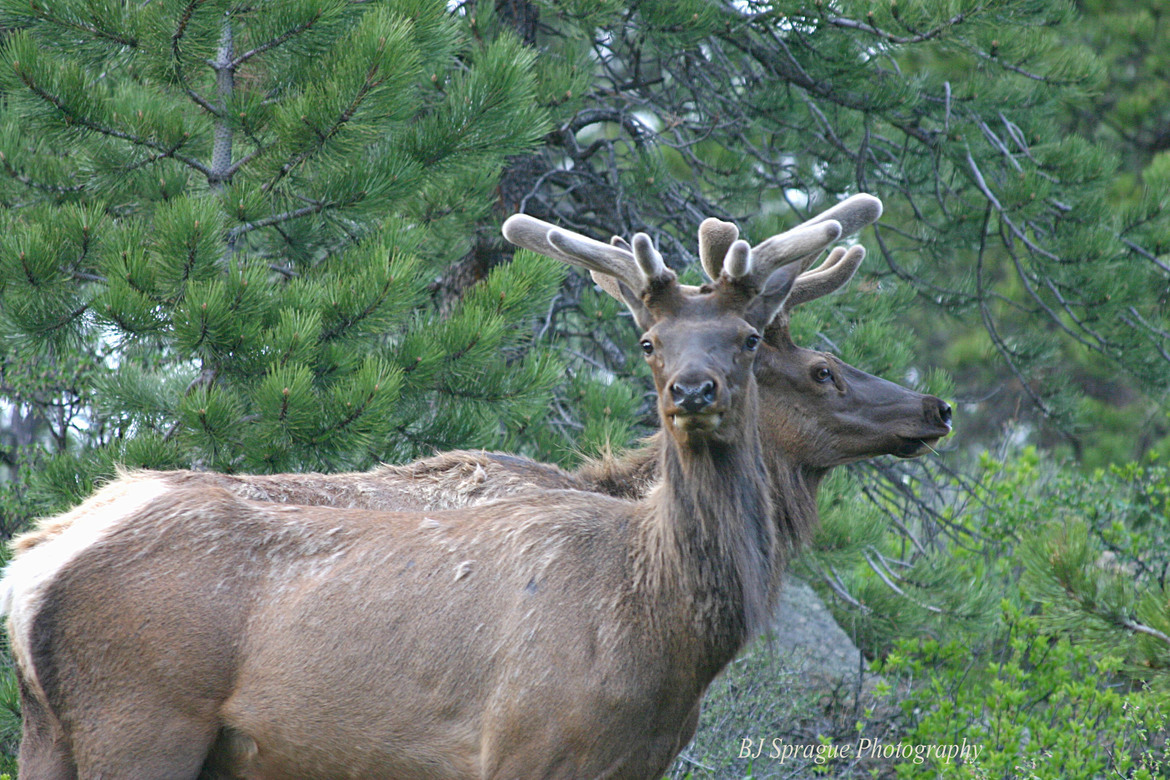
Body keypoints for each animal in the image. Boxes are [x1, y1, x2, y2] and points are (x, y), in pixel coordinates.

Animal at [1, 197, 954, 779]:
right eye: (823, 368)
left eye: (749, 339)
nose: (934, 406)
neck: (661, 622)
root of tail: (30, 567)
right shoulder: (525, 749)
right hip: (143, 721)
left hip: (51, 733)